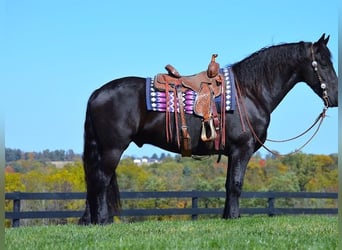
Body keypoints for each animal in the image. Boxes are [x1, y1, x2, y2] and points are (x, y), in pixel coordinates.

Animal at [79, 33, 338, 225]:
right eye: (323, 64)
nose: (335, 98)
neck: (249, 92)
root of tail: (98, 93)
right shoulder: (241, 149)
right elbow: (236, 184)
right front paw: (233, 217)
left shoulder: (232, 152)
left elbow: (228, 184)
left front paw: (227, 216)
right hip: (112, 149)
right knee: (100, 180)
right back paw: (102, 220)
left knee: (94, 181)